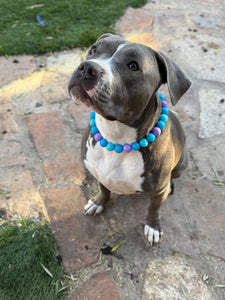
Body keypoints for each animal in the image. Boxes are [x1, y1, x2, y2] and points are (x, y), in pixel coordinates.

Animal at [68, 33, 192, 246]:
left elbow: (153, 209)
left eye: (133, 65)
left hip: (182, 162)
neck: (116, 136)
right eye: (93, 50)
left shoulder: (158, 190)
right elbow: (104, 188)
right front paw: (98, 202)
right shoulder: (99, 172)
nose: (87, 67)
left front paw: (153, 227)